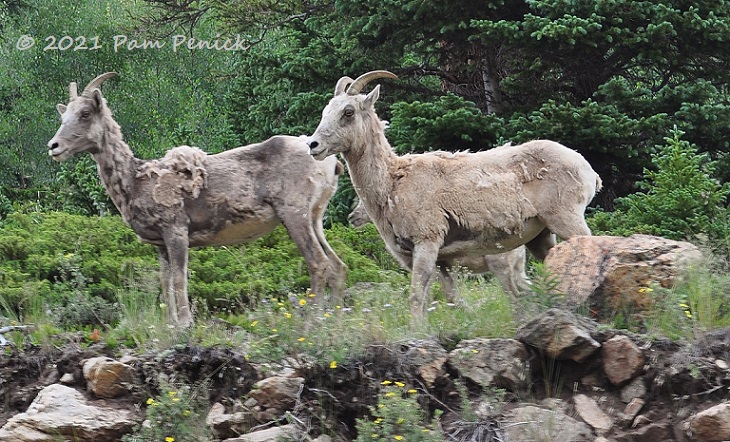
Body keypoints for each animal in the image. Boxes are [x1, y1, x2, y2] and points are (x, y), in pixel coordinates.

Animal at [48, 73, 346, 328]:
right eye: (63, 115)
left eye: (85, 113)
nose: (53, 147)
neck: (135, 182)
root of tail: (331, 163)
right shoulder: (160, 245)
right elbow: (165, 283)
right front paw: (170, 324)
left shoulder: (176, 231)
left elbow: (180, 280)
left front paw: (185, 324)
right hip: (315, 217)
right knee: (337, 266)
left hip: (294, 215)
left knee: (318, 263)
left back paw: (313, 321)